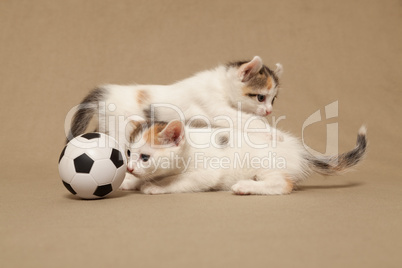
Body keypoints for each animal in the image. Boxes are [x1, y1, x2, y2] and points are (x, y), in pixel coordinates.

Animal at [121, 120, 368, 195]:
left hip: (266, 164)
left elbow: (178, 180)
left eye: (145, 157)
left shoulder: (206, 172)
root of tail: (300, 149)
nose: (130, 168)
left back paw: (246, 186)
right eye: (129, 153)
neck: (190, 148)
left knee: (282, 184)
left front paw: (156, 186)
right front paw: (130, 181)